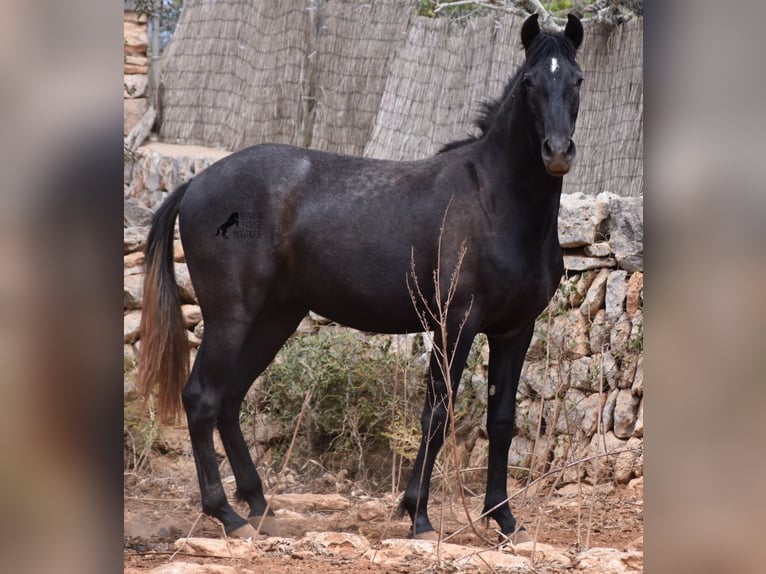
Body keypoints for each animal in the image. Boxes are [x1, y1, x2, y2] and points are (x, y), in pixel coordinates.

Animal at [138, 13, 584, 544]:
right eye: (530, 82)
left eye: (577, 80)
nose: (557, 152)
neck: (494, 202)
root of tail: (194, 183)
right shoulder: (455, 324)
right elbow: (437, 414)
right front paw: (418, 516)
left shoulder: (515, 330)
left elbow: (501, 421)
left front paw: (505, 520)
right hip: (231, 318)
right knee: (202, 398)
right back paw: (228, 514)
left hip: (275, 319)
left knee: (228, 400)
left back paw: (260, 505)